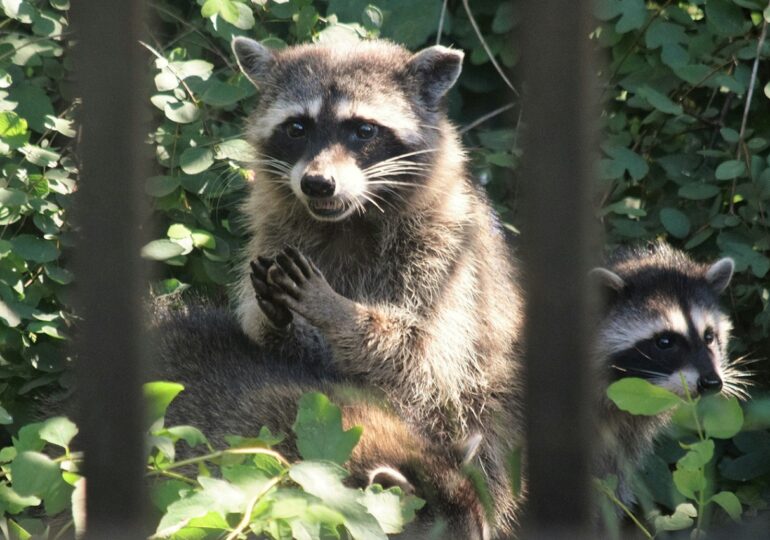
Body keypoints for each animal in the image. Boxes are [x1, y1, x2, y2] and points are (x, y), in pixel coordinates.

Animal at [228, 37, 520, 532]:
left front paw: (337, 310)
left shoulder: (446, 255)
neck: (348, 220)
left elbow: (420, 358)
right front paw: (278, 322)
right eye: (297, 127)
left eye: (363, 130)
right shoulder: (276, 235)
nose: (317, 184)